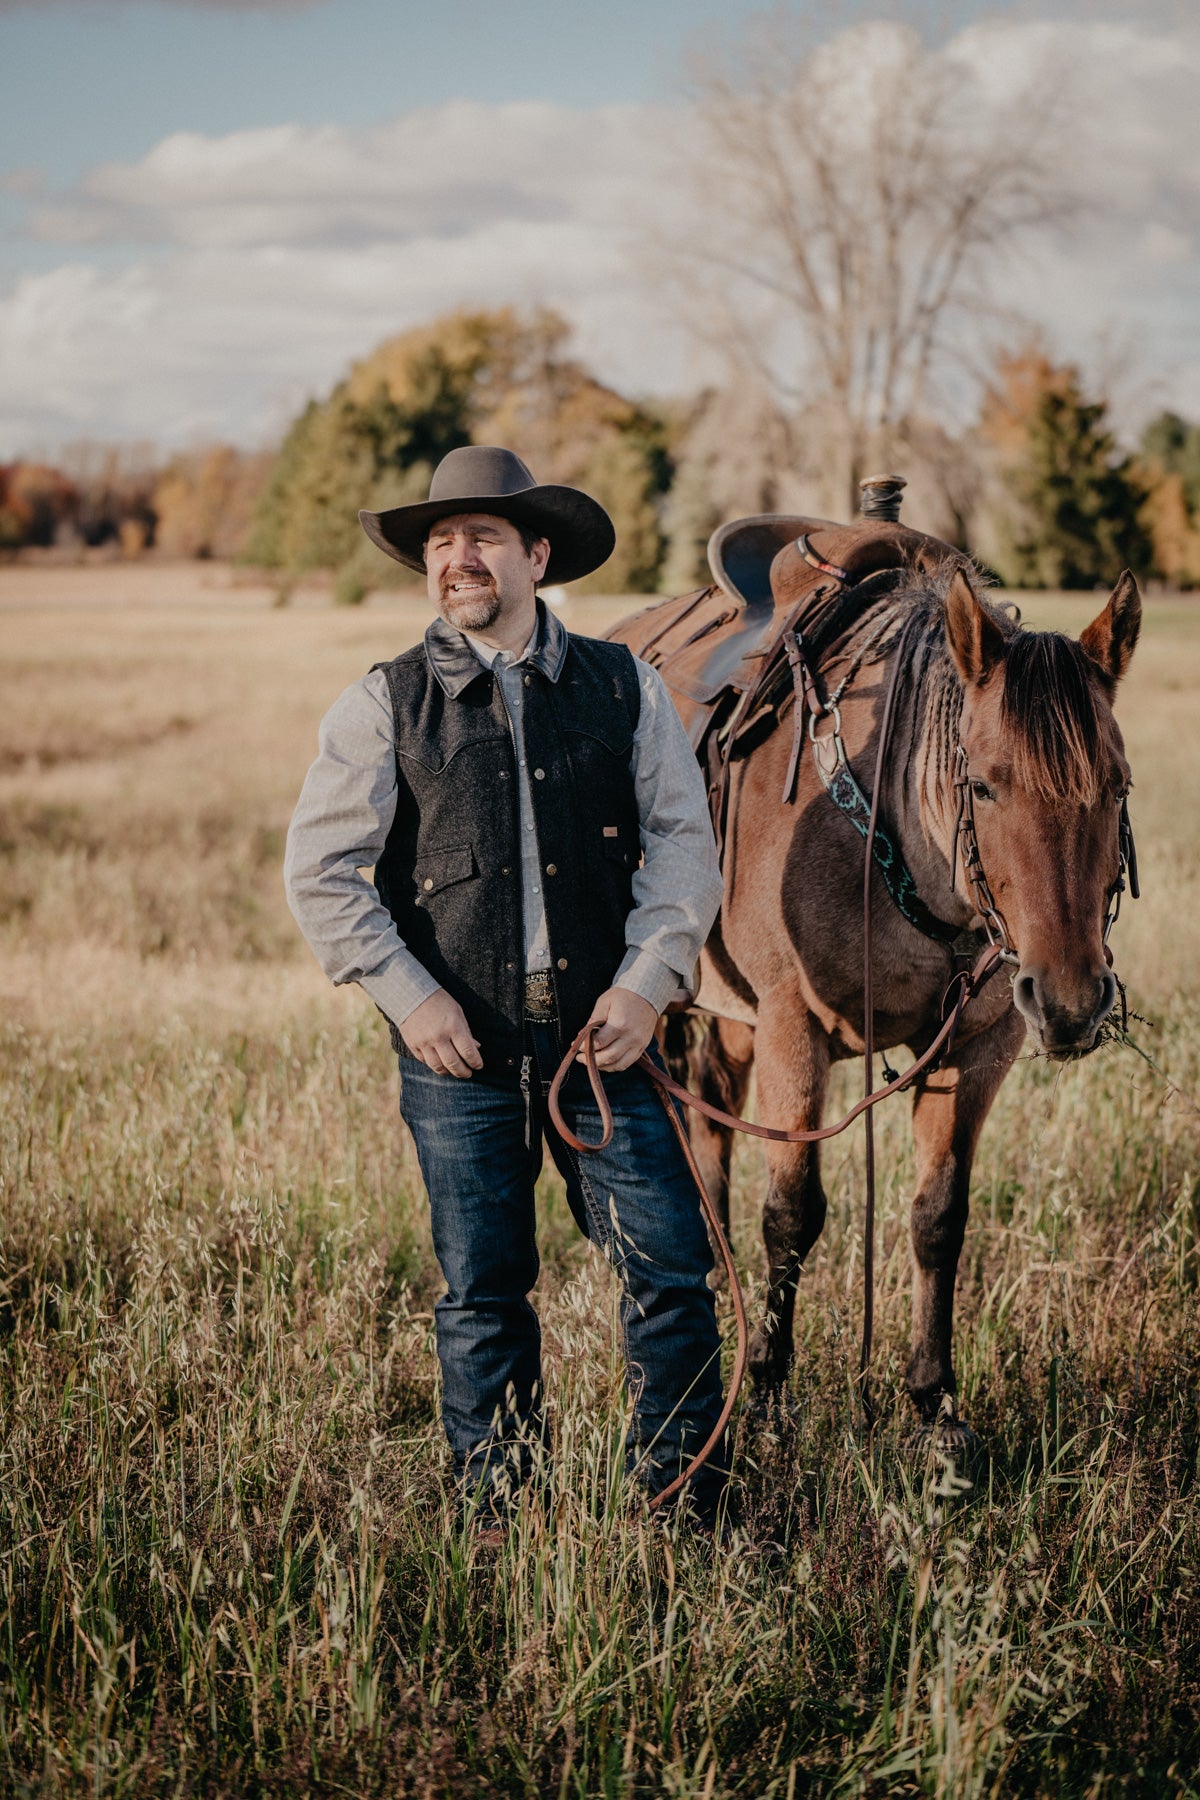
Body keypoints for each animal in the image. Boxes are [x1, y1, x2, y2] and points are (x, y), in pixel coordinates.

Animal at [615, 536, 1144, 1447]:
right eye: (984, 785)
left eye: (1116, 786)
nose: (1072, 1002)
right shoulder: (793, 1031)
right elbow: (792, 1216)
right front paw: (768, 1396)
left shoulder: (977, 1047)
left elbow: (939, 1216)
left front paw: (933, 1402)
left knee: (711, 1120)